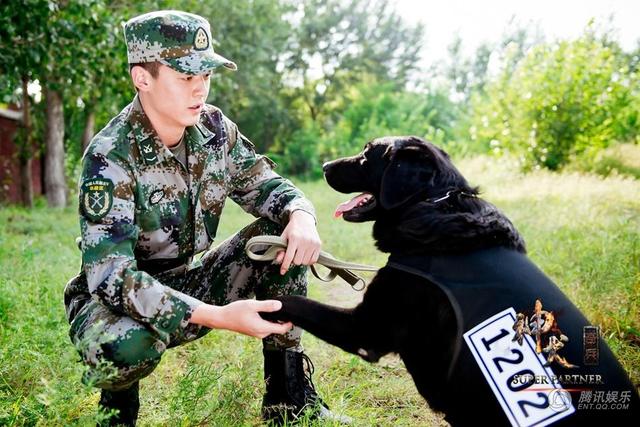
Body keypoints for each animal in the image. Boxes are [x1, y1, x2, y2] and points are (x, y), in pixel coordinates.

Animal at [262, 136, 636, 424]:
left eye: (367, 154)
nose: (325, 165)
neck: (432, 205)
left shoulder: (366, 330)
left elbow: (291, 301)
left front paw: (255, 306)